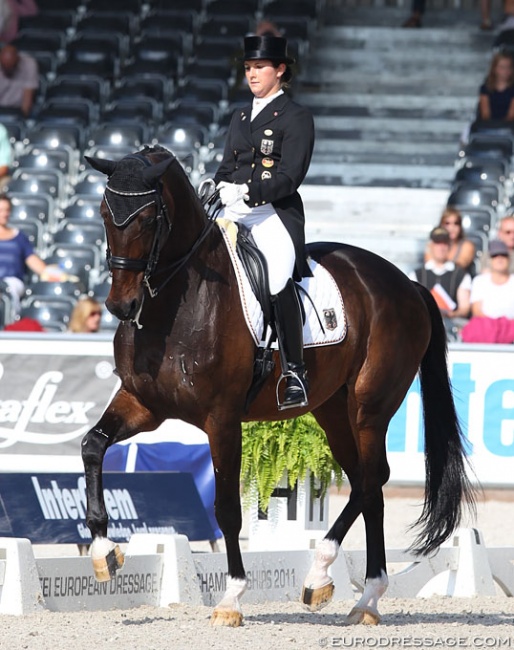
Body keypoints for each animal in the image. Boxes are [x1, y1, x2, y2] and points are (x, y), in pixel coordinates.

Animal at [83, 146, 472, 624]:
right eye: (105, 213)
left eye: (149, 218)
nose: (121, 305)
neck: (180, 302)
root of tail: (408, 284)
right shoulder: (143, 404)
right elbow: (93, 446)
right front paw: (104, 552)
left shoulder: (222, 419)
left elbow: (227, 509)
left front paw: (231, 599)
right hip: (333, 409)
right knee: (368, 485)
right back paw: (363, 598)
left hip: (370, 405)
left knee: (371, 478)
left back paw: (324, 575)